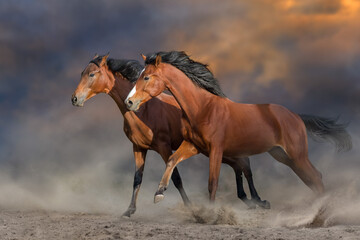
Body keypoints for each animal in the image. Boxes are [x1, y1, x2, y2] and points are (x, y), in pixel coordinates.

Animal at [71, 54, 270, 218]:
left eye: (92, 74)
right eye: (82, 73)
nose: (74, 99)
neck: (144, 110)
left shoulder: (163, 147)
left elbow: (176, 177)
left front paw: (186, 206)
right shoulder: (139, 148)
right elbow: (137, 179)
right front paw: (129, 211)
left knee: (245, 166)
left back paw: (258, 200)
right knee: (239, 167)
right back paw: (250, 200)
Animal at [124, 51, 352, 203]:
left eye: (146, 77)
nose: (129, 102)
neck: (203, 108)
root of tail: (296, 116)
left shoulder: (216, 149)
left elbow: (212, 182)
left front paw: (209, 214)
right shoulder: (193, 146)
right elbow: (172, 161)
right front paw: (159, 193)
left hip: (297, 155)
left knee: (315, 177)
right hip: (283, 156)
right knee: (312, 178)